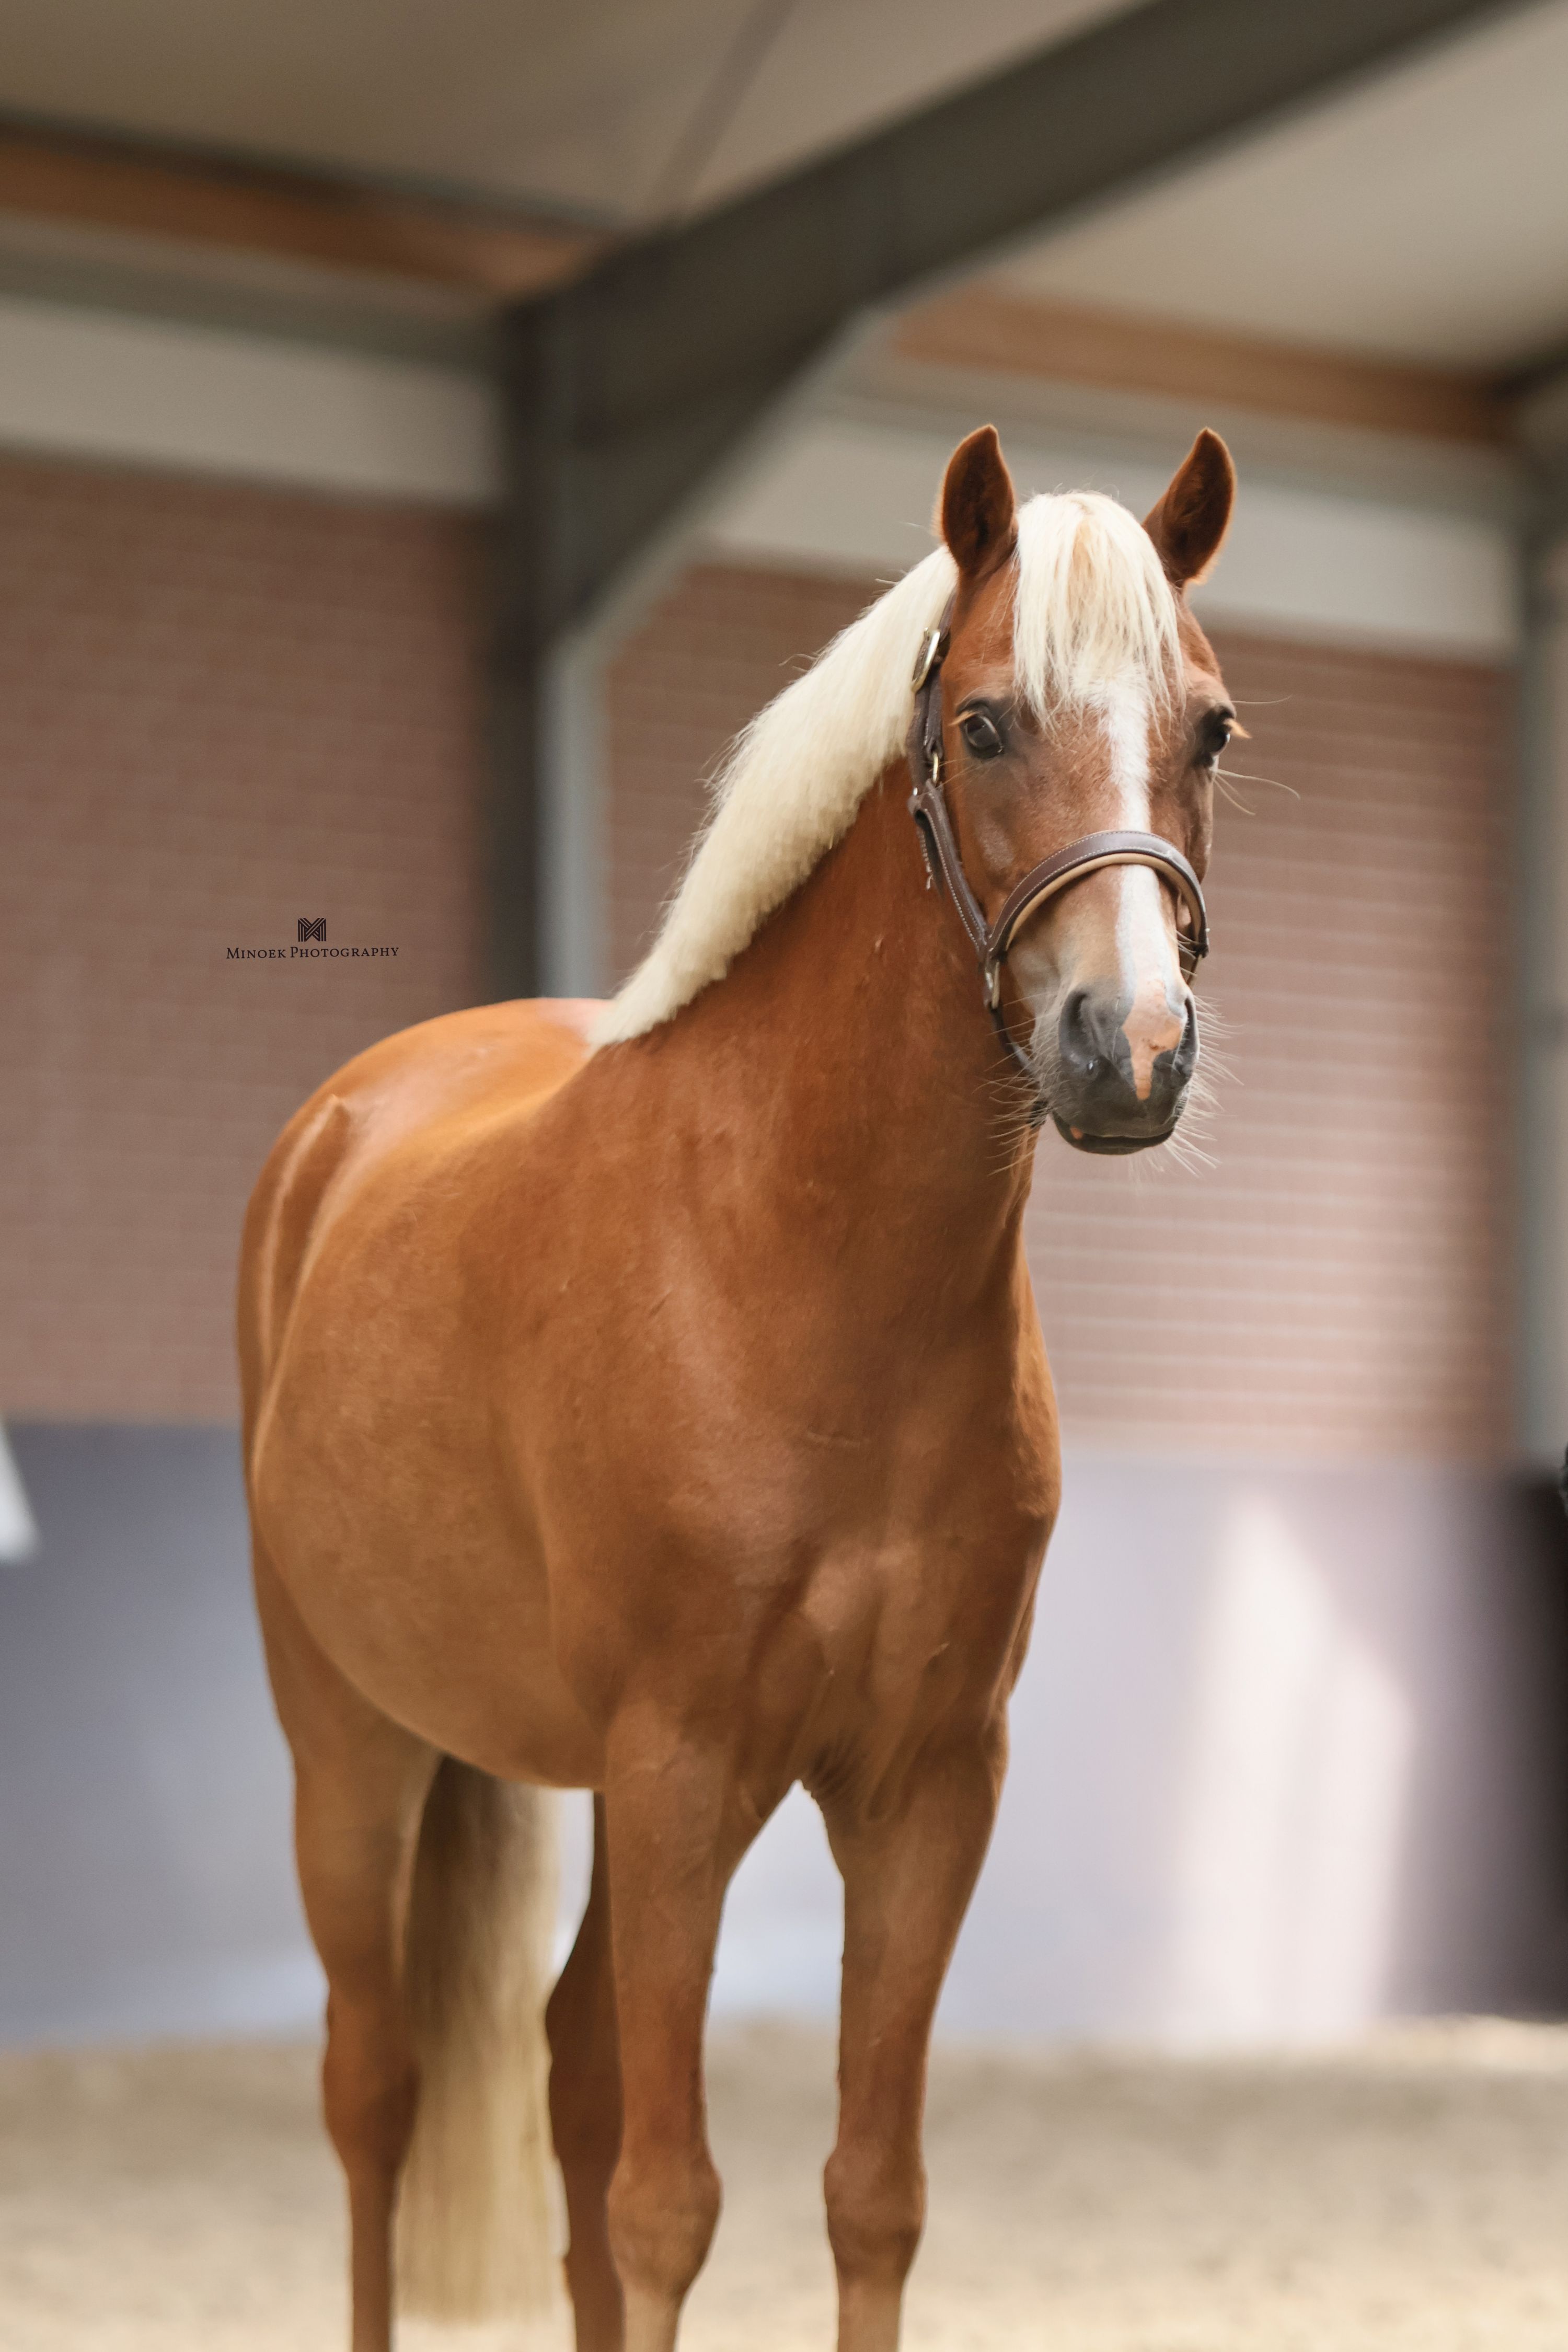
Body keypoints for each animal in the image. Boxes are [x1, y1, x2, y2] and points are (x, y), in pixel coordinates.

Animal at [238, 420, 1237, 2352]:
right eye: (984, 723)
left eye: (1213, 726)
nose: (1129, 1050)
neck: (798, 1264)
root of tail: (340, 1125)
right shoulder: (680, 1764)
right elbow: (667, 2203)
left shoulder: (923, 1784)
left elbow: (867, 2195)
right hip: (353, 1746)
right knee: (373, 2092)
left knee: (561, 2066)